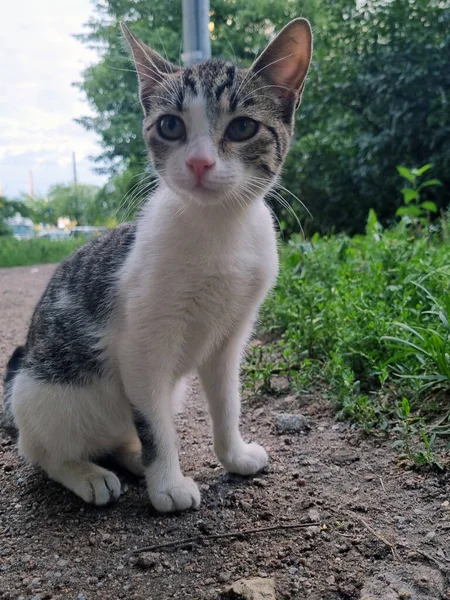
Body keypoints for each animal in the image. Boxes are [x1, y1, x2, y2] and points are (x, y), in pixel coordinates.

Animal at [2, 21, 312, 512]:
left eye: (243, 127)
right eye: (170, 125)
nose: (200, 162)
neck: (218, 229)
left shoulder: (231, 339)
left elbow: (226, 403)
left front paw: (234, 455)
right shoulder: (141, 346)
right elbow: (155, 425)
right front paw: (167, 485)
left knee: (121, 433)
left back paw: (130, 458)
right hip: (40, 394)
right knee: (41, 449)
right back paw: (88, 474)